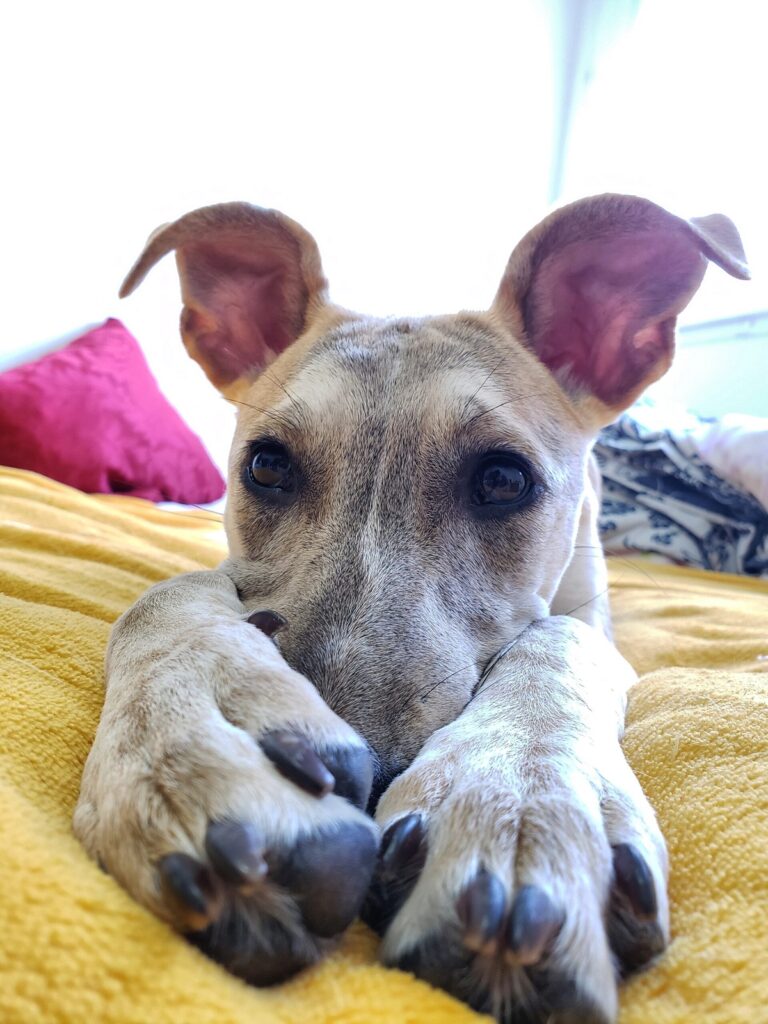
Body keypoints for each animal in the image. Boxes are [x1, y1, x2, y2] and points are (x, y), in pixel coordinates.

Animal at [72, 193, 745, 1024]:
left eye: (504, 479)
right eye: (266, 465)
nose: (366, 784)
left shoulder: (594, 619)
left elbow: (556, 639)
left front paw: (520, 795)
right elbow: (165, 595)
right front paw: (185, 742)